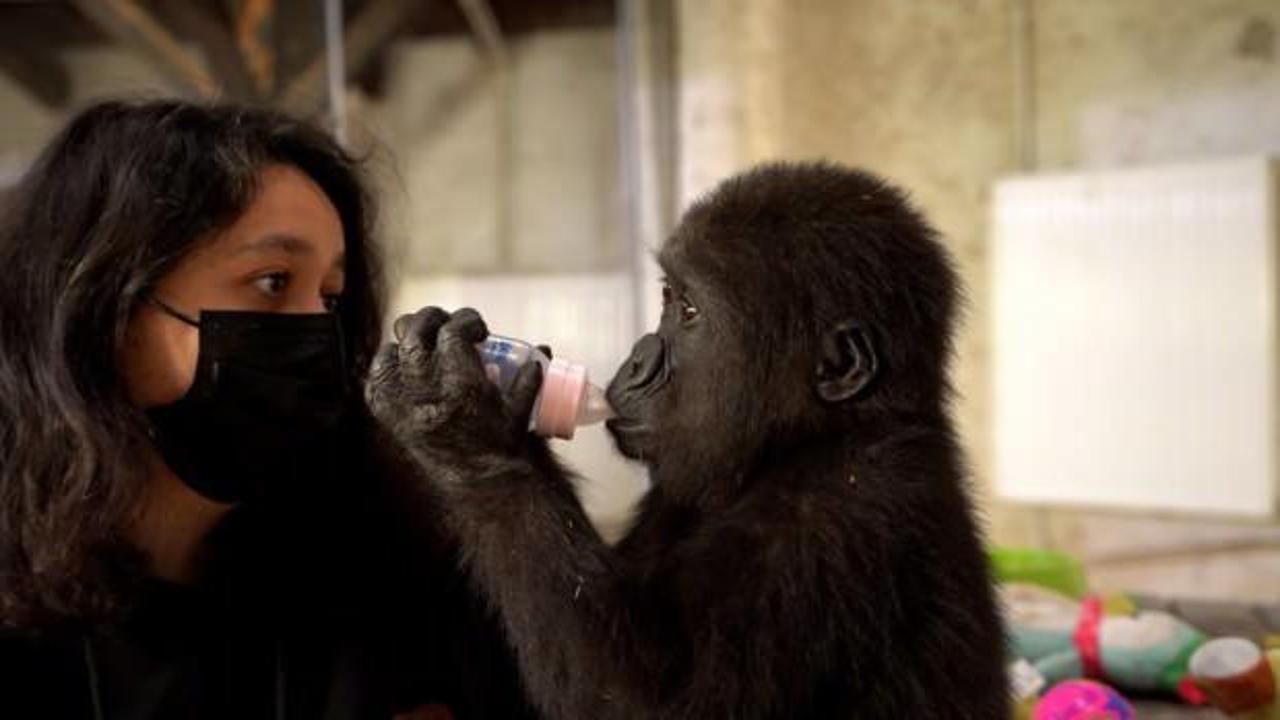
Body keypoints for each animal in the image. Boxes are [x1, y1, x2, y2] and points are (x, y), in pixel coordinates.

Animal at [368, 162, 1008, 717]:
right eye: (666, 299)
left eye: (692, 310)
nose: (636, 358)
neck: (805, 441)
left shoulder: (838, 517)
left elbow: (648, 702)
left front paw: (459, 428)